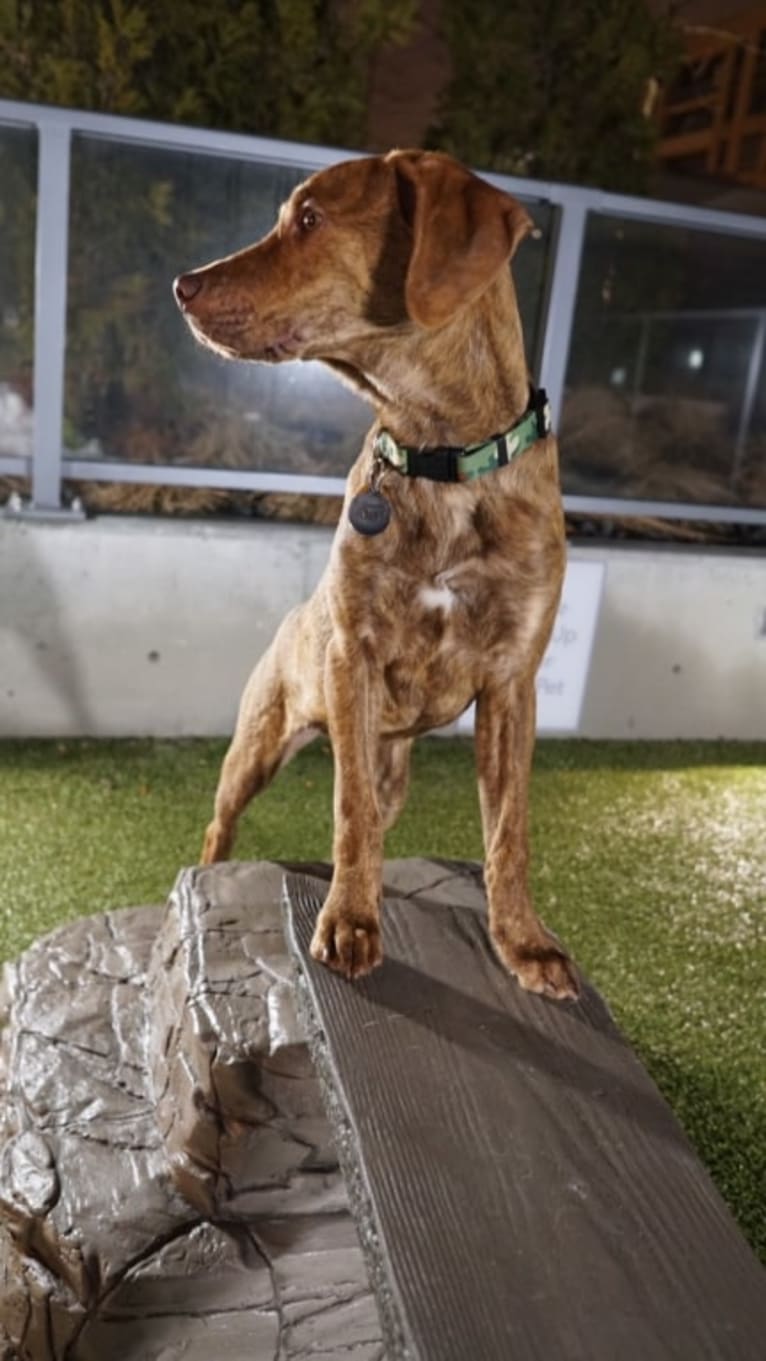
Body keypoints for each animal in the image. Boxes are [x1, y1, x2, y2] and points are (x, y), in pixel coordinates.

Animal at [175, 151, 582, 1001]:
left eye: (309, 219)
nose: (182, 285)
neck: (440, 458)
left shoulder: (513, 681)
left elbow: (509, 829)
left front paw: (522, 941)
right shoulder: (351, 654)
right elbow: (348, 810)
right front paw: (351, 922)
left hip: (391, 761)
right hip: (258, 740)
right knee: (223, 820)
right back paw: (208, 879)